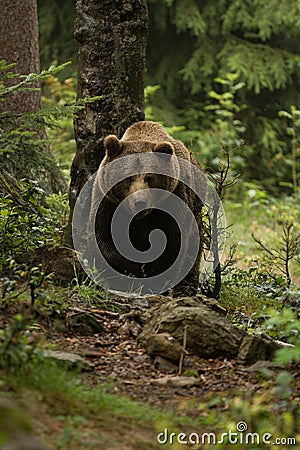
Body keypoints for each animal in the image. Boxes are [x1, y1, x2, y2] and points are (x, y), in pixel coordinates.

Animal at [86, 120, 204, 296]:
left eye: (150, 177)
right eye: (128, 178)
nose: (140, 202)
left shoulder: (173, 200)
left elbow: (172, 244)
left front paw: (152, 281)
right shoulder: (108, 202)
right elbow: (105, 240)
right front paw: (131, 273)